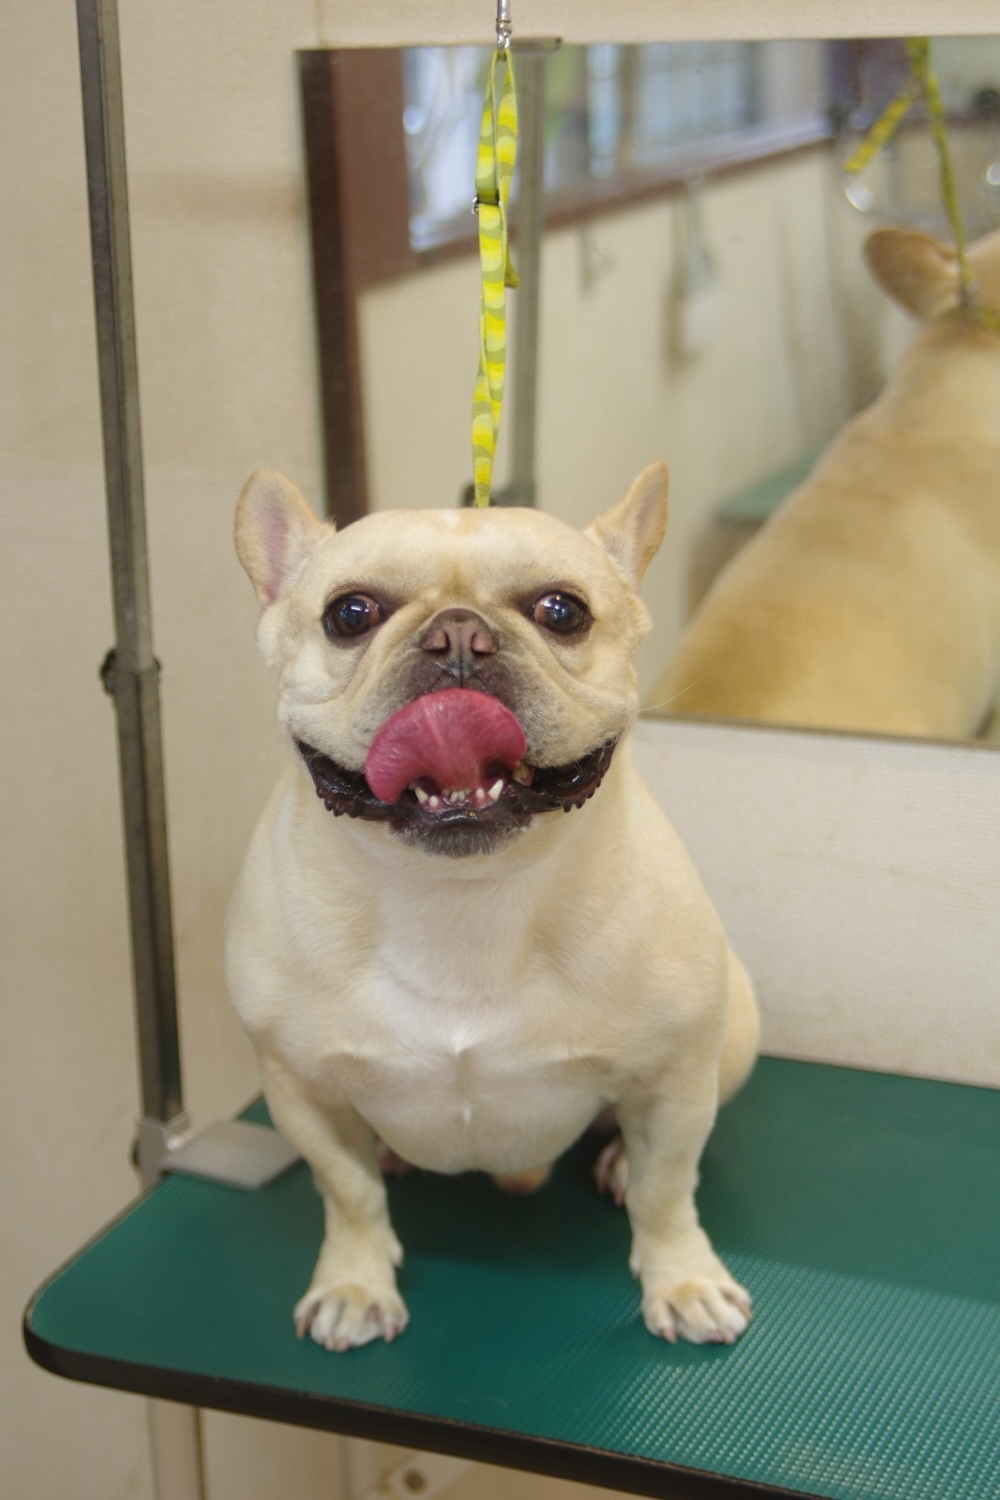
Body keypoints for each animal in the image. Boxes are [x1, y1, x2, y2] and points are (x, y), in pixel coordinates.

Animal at [225, 462, 759, 1352]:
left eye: (561, 611)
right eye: (350, 614)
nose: (457, 635)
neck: (460, 898)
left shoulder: (677, 1078)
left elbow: (667, 1189)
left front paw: (682, 1279)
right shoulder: (301, 1092)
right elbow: (348, 1192)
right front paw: (353, 1284)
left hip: (733, 1033)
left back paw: (617, 1160)